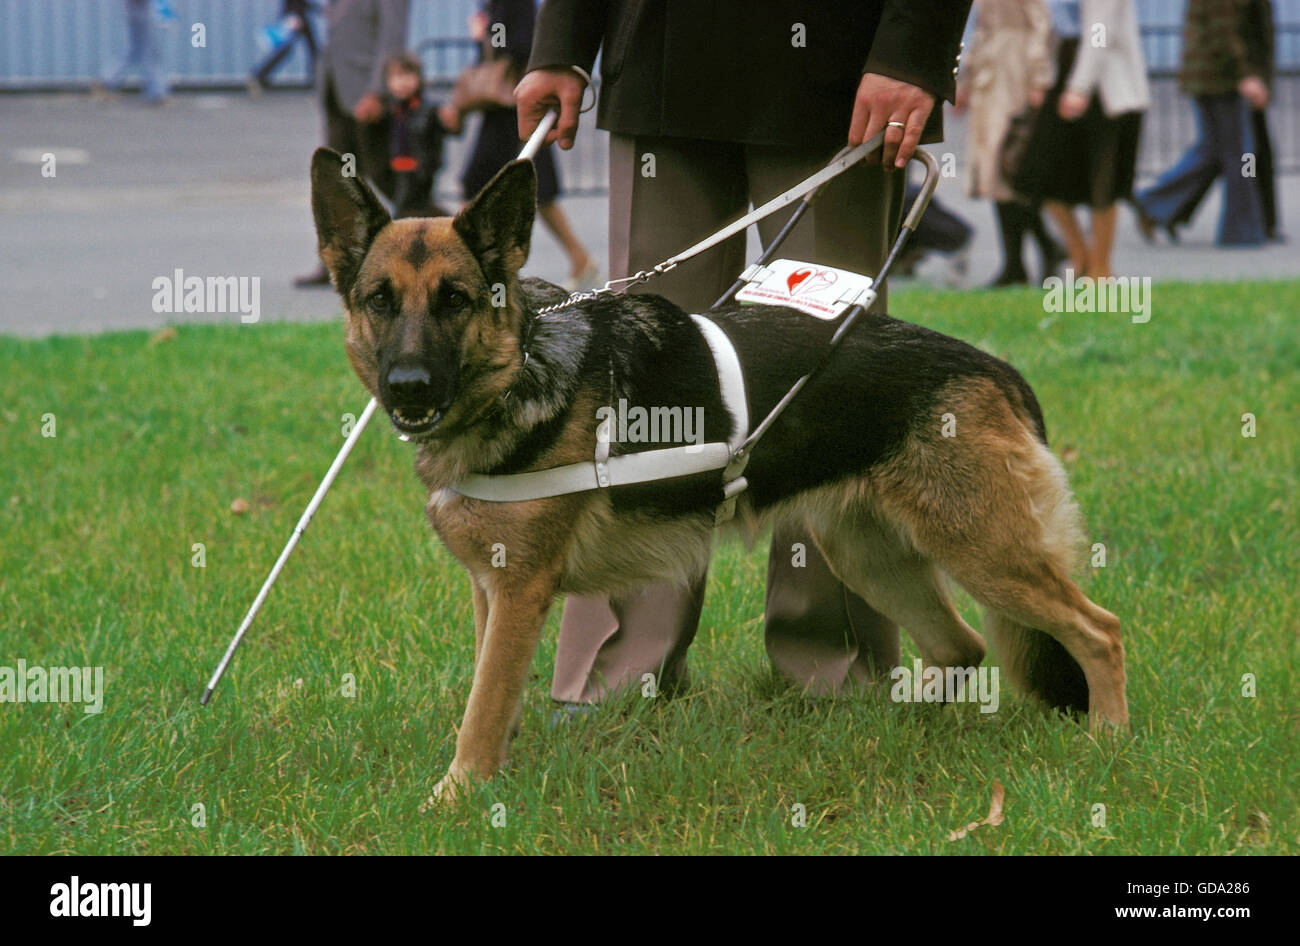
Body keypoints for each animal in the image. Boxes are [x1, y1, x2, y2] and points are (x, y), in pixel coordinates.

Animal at [309, 151, 1123, 800]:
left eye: (456, 301)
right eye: (380, 300)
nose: (409, 388)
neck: (522, 370)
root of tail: (992, 367)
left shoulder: (518, 593)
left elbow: (480, 712)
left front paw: (452, 800)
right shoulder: (491, 590)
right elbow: (491, 697)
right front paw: (488, 786)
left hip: (985, 553)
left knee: (1099, 631)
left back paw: (1108, 745)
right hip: (871, 557)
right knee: (963, 647)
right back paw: (898, 736)